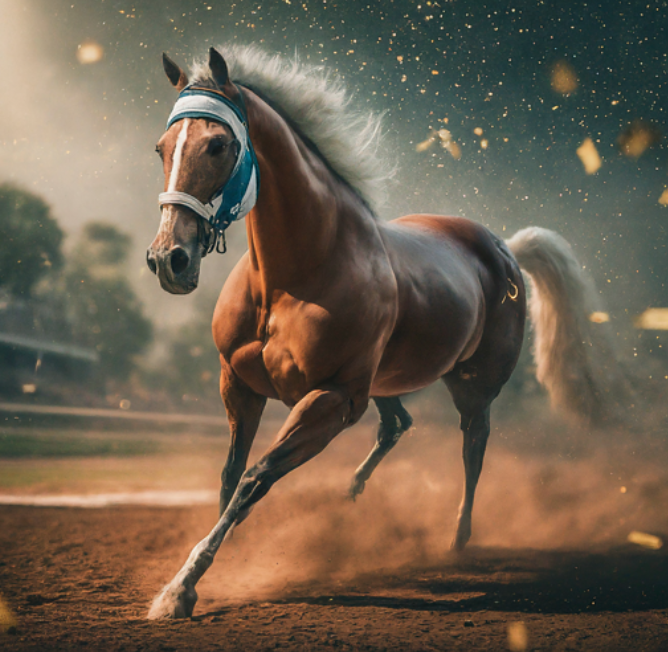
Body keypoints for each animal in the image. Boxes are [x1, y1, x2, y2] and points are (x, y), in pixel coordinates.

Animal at [146, 45, 612, 619]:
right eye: (163, 147)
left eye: (218, 144)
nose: (169, 259)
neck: (297, 274)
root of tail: (505, 248)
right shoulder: (240, 385)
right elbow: (230, 479)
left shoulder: (333, 399)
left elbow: (256, 477)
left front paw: (177, 591)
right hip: (386, 382)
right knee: (398, 424)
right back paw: (351, 497)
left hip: (471, 386)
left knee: (473, 445)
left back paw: (457, 541)